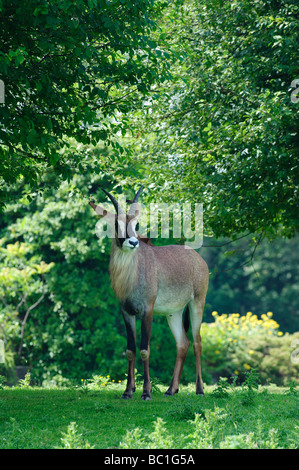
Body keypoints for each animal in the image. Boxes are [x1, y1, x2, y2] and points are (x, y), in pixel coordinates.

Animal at [90, 185, 210, 398]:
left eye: (137, 225)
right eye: (117, 225)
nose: (133, 243)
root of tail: (199, 259)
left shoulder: (148, 309)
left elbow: (145, 349)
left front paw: (146, 392)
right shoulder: (127, 312)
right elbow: (131, 350)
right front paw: (128, 391)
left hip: (197, 303)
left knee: (197, 342)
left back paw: (199, 390)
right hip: (174, 313)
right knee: (183, 343)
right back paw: (171, 390)